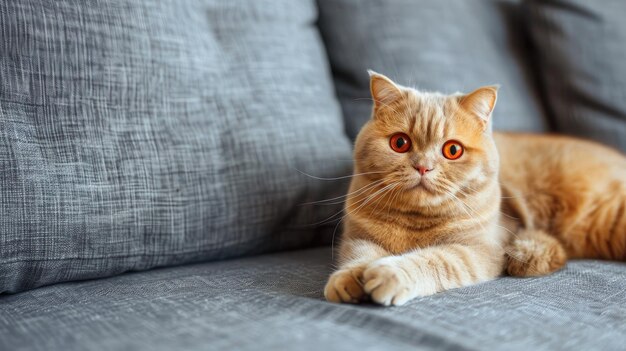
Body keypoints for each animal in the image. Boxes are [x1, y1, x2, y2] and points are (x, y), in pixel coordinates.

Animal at [322, 71, 624, 306]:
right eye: (400, 143)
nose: (423, 167)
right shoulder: (357, 237)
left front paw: (389, 274)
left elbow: (433, 260)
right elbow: (360, 254)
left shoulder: (476, 249)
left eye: (452, 150)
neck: (415, 222)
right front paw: (350, 278)